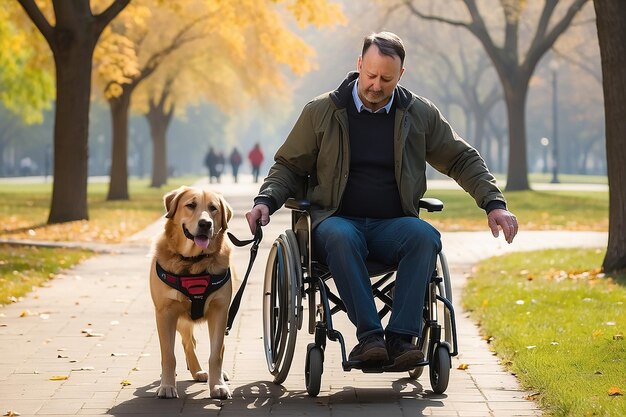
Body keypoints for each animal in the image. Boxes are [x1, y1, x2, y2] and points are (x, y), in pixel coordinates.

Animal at [149, 184, 234, 396]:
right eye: (190, 205)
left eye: (213, 208)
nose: (205, 224)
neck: (193, 262)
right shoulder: (165, 312)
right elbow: (168, 355)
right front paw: (167, 386)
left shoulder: (220, 311)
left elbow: (216, 353)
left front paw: (218, 385)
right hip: (180, 320)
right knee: (188, 343)